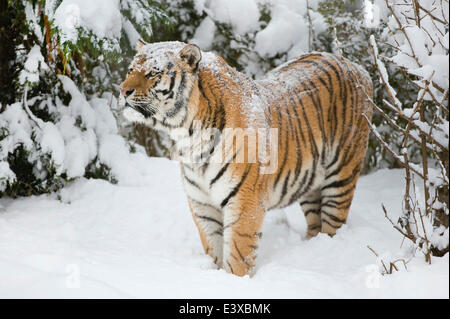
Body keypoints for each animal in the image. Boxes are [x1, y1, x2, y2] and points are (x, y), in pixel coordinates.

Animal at [119, 40, 372, 278]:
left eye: (153, 73)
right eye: (130, 70)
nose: (122, 91)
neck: (189, 136)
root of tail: (356, 67)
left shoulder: (245, 201)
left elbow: (238, 255)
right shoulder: (202, 203)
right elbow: (213, 248)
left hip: (341, 176)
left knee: (333, 224)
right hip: (310, 183)